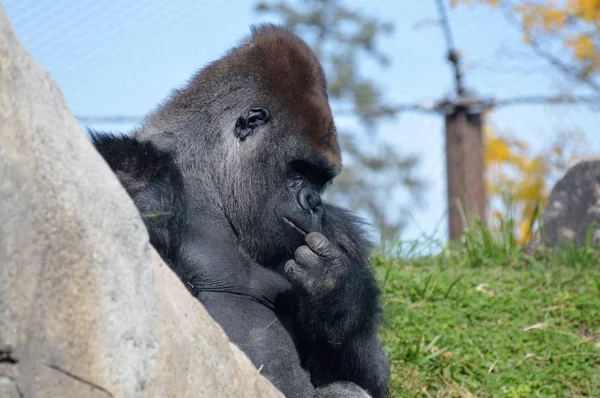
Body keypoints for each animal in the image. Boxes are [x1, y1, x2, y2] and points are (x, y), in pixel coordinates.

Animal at [89, 24, 390, 398]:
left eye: (321, 180)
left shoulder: (340, 232)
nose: (314, 203)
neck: (210, 182)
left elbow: (369, 375)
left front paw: (335, 290)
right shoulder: (124, 163)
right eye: (300, 169)